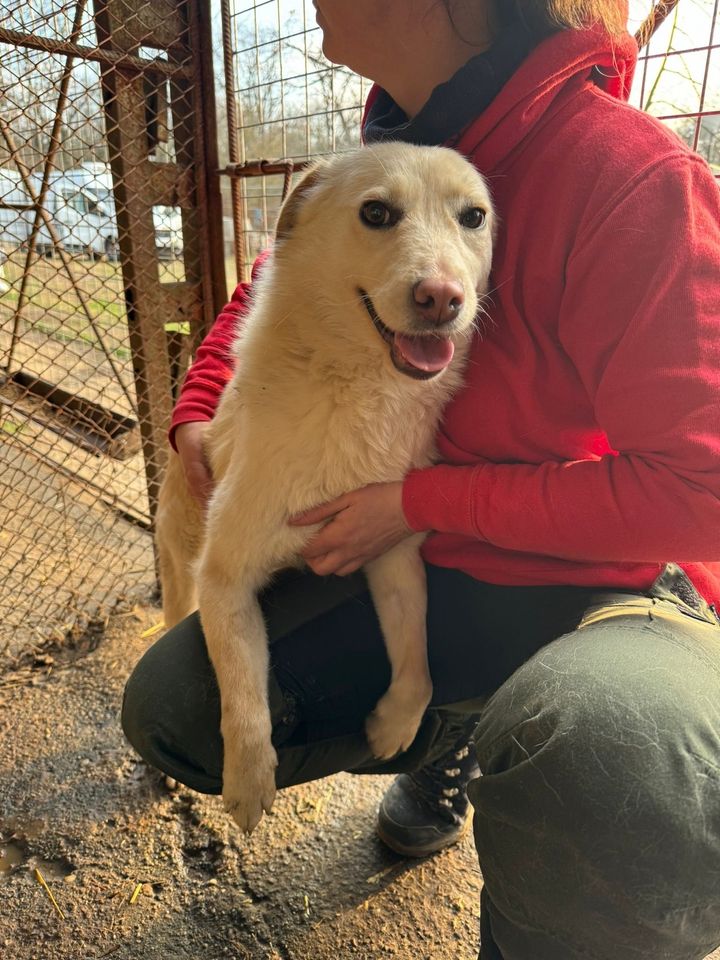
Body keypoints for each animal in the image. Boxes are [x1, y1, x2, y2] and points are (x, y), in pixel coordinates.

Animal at [156, 144, 496, 832]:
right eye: (376, 212)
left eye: (473, 217)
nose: (442, 298)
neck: (356, 392)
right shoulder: (223, 580)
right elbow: (242, 695)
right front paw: (248, 781)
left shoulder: (394, 555)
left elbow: (418, 661)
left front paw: (396, 723)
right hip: (181, 568)